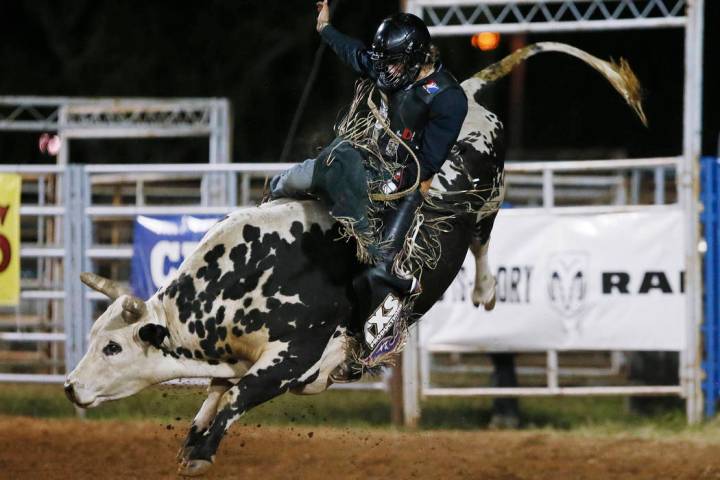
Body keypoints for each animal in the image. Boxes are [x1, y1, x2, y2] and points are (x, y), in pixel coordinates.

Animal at [63, 42, 648, 476]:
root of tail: (466, 93)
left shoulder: (292, 356)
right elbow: (215, 394)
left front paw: (202, 454)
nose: (70, 386)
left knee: (484, 236)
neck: (243, 281)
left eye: (113, 347)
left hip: (489, 193)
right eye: (93, 337)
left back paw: (485, 291)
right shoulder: (233, 359)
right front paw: (191, 441)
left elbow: (236, 397)